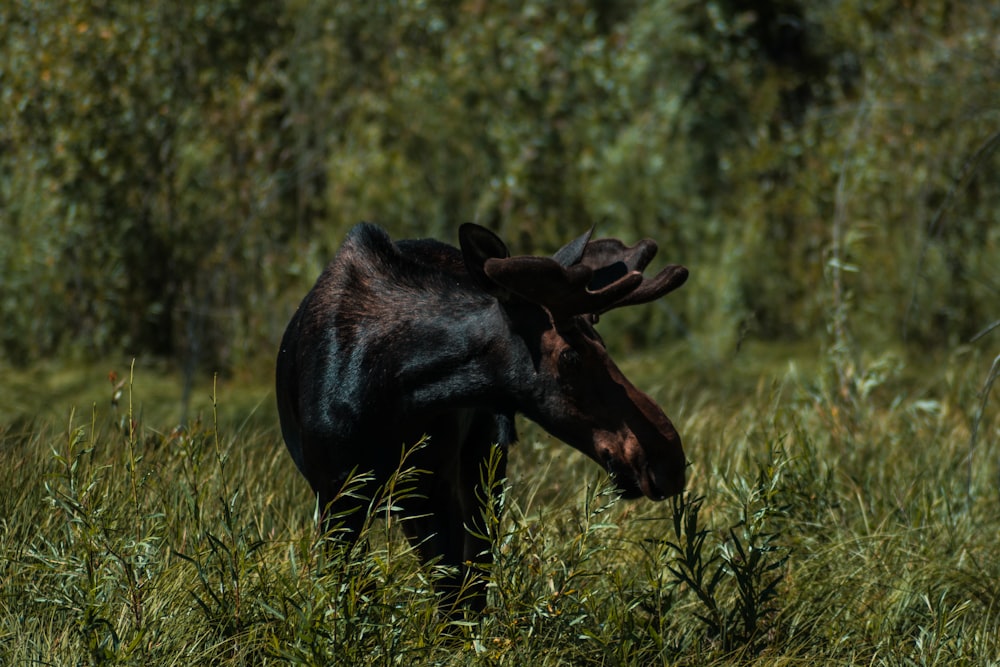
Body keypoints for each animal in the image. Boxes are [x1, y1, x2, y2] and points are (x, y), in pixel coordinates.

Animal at [278, 224, 692, 612]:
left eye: (603, 343)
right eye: (571, 356)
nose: (669, 461)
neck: (390, 390)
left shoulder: (433, 488)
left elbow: (454, 596)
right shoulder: (335, 495)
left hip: (481, 467)